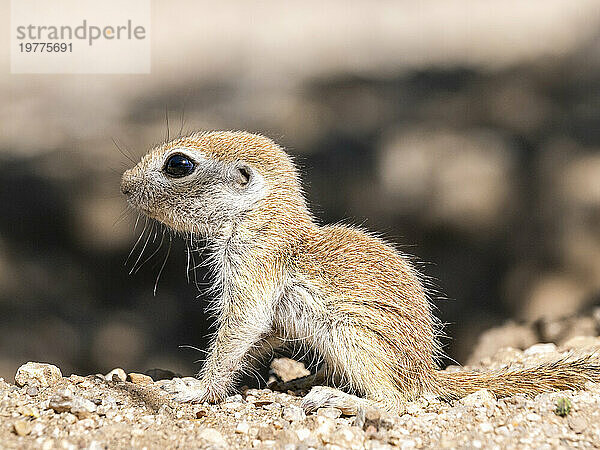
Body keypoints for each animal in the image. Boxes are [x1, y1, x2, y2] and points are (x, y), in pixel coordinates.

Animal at [120, 131, 600, 414]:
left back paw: (341, 398)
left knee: (397, 401)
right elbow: (263, 333)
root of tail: (426, 372)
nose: (123, 184)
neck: (261, 216)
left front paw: (196, 390)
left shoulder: (254, 265)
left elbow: (241, 325)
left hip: (352, 338)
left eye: (179, 164)